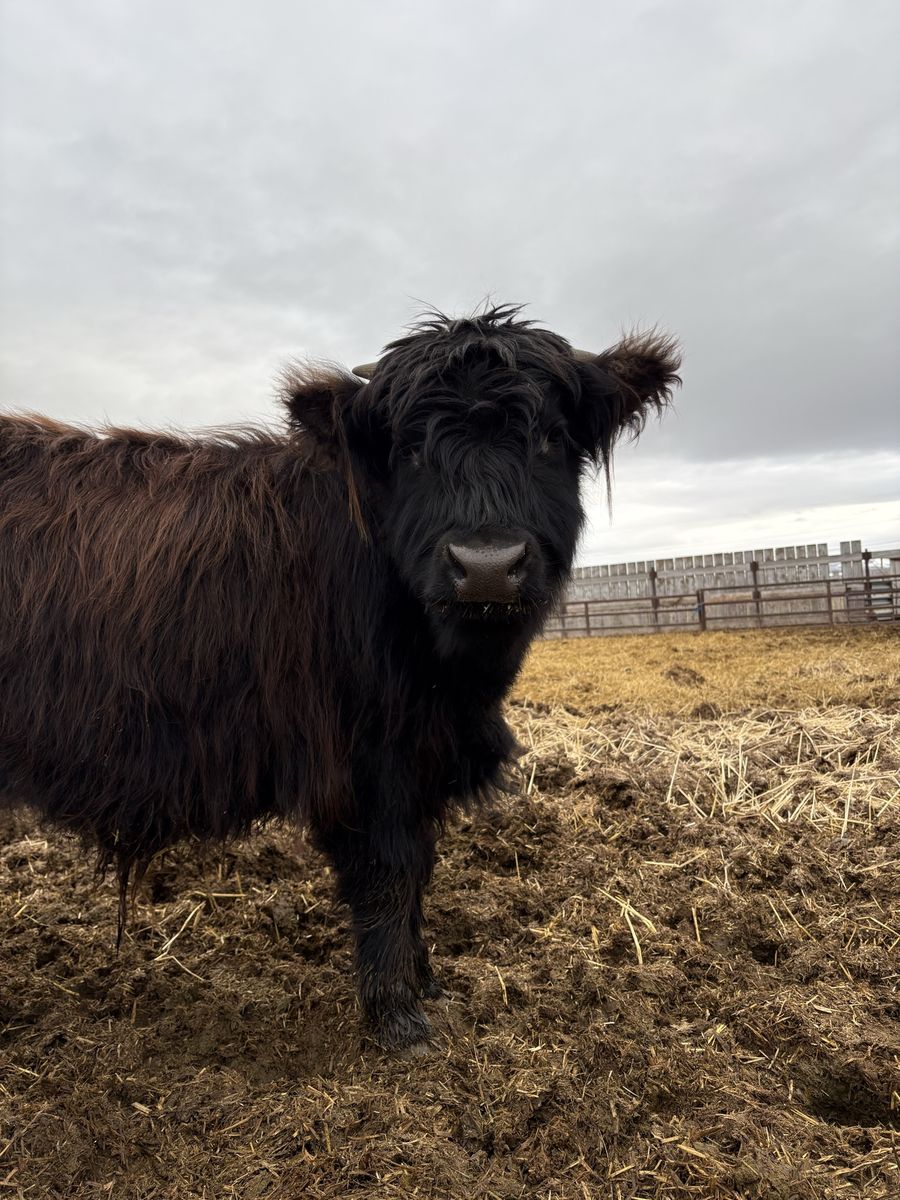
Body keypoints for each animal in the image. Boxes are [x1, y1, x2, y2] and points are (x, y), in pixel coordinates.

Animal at [0, 305, 680, 1050]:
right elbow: (389, 876)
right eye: (410, 450)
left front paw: (425, 980)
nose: (486, 566)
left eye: (550, 440)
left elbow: (418, 870)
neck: (453, 679)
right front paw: (397, 1016)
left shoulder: (419, 759)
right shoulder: (364, 761)